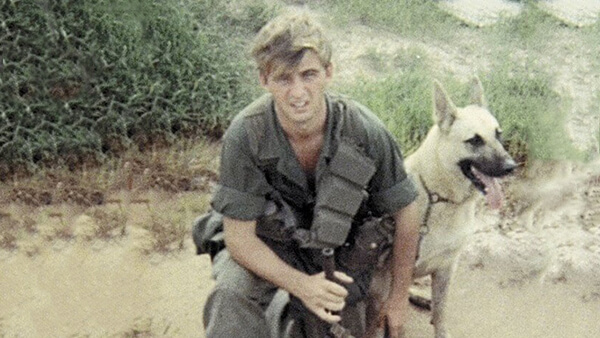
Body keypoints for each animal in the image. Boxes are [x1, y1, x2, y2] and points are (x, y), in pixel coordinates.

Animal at [368, 78, 516, 336]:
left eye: (498, 134)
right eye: (475, 140)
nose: (511, 167)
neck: (439, 198)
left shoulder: (446, 269)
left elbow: (441, 312)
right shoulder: (386, 283)